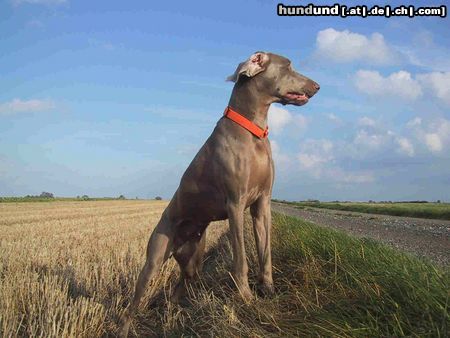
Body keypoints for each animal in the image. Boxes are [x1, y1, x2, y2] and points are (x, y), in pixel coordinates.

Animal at [118, 50, 318, 336]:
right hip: (155, 258)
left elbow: (265, 253)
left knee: (178, 289)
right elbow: (241, 259)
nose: (317, 86)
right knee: (132, 304)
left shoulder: (262, 204)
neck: (253, 132)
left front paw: (268, 291)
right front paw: (246, 298)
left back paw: (173, 315)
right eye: (289, 66)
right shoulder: (235, 204)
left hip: (193, 260)